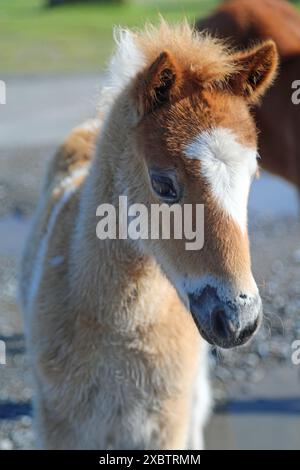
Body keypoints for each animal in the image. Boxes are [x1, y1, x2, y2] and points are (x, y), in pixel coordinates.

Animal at [19, 21, 278, 448]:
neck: (118, 332)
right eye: (162, 183)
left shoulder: (165, 423)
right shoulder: (61, 425)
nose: (239, 319)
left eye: (252, 175)